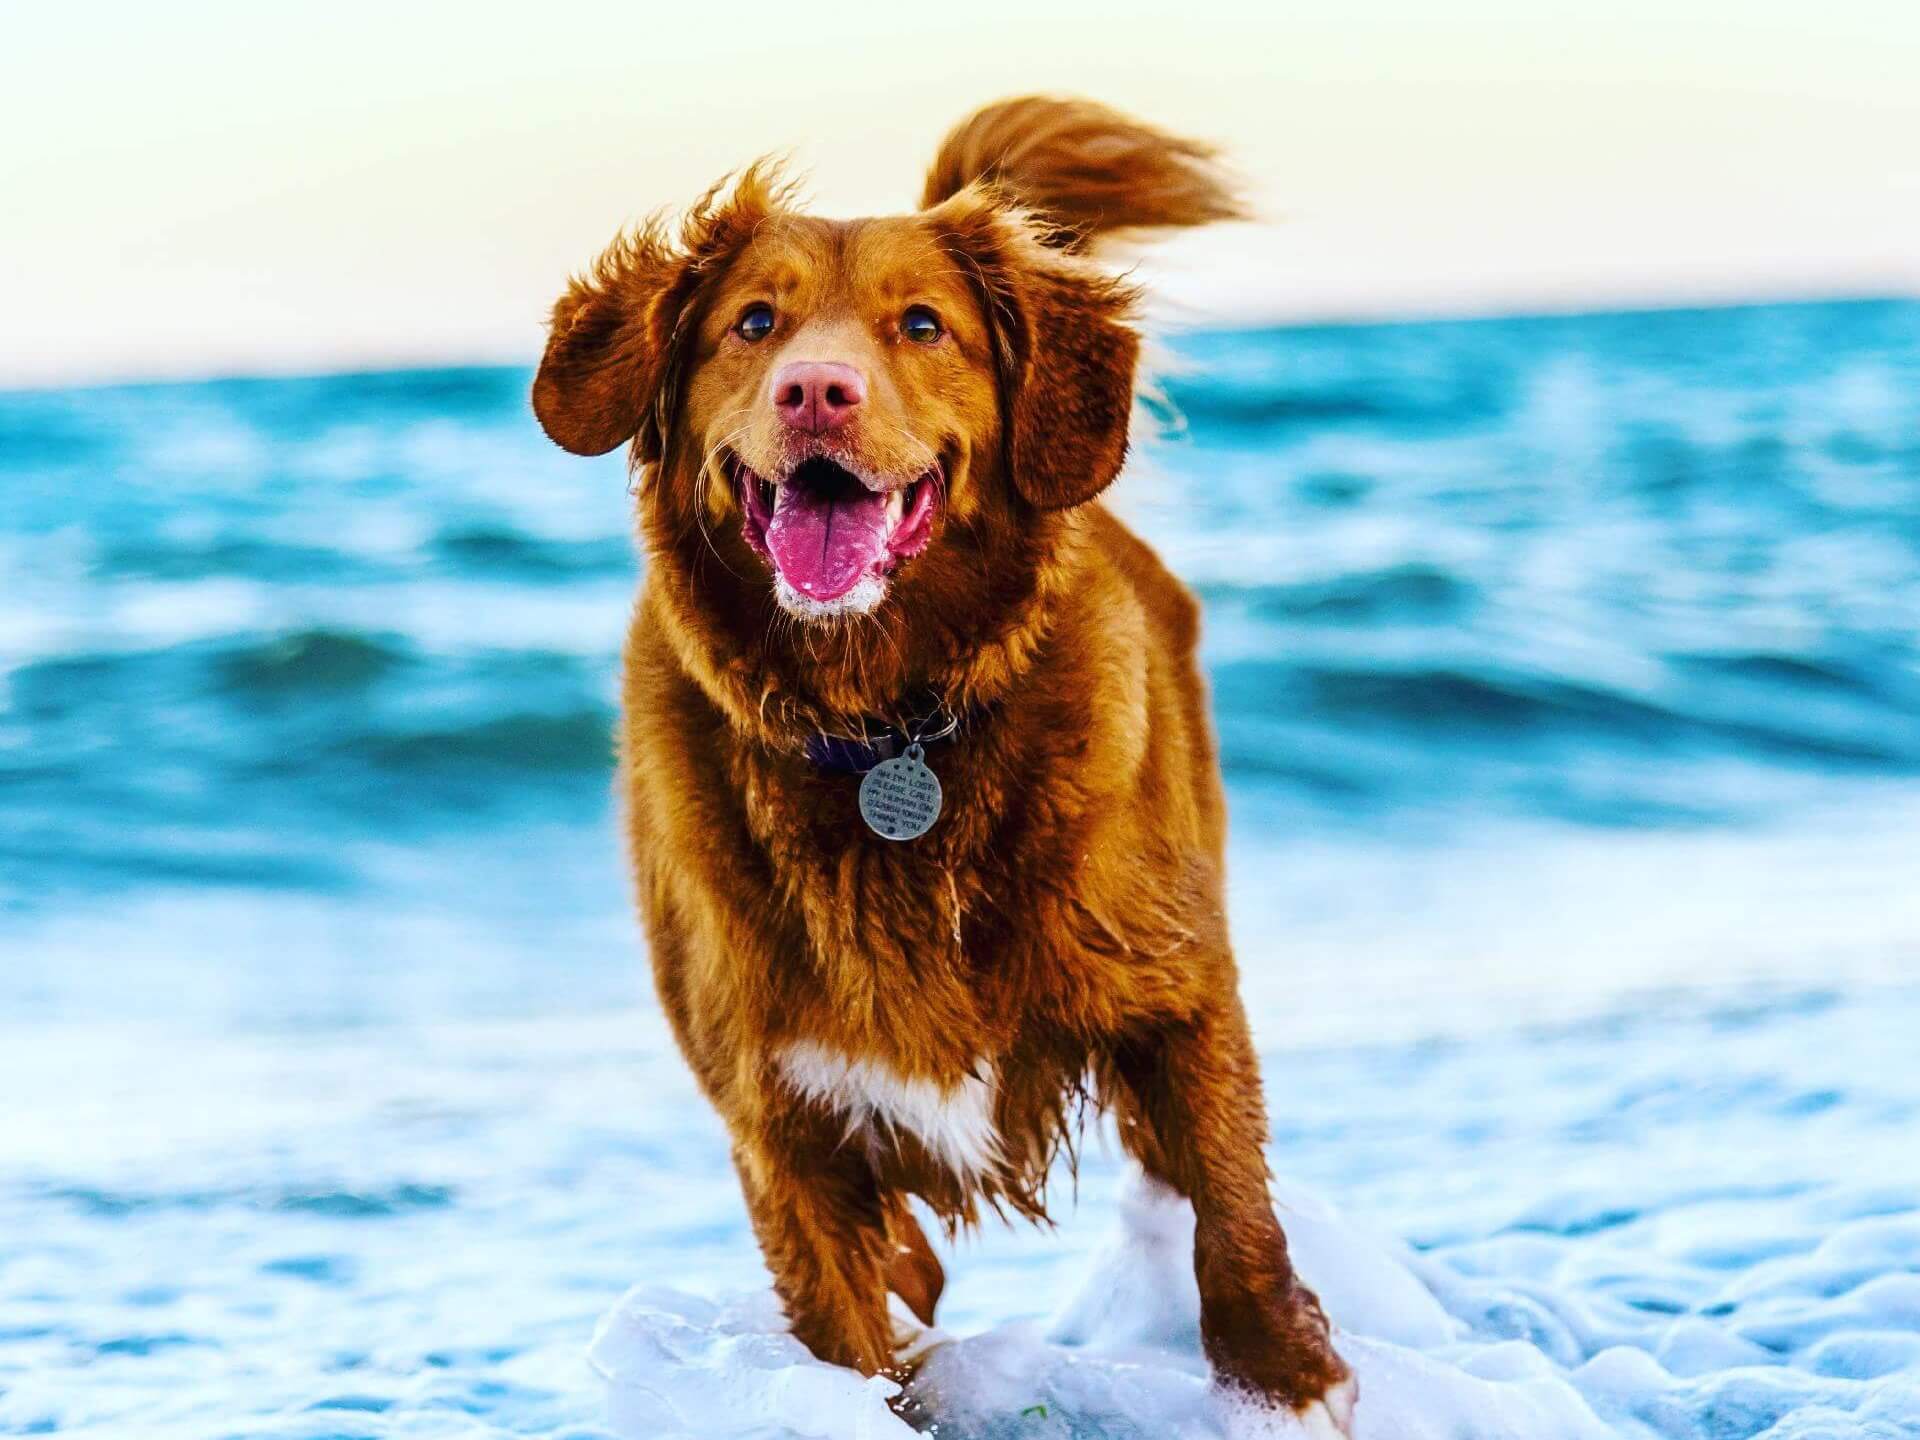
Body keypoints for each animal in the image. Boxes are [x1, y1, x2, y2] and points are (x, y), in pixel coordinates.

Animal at [533, 96, 1359, 1436]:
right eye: (751, 323)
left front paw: (1285, 1381)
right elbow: (844, 1323)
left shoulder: (1176, 988)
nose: (817, 390)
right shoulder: (780, 1119)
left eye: (922, 324)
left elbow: (1233, 1211)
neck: (888, 727)